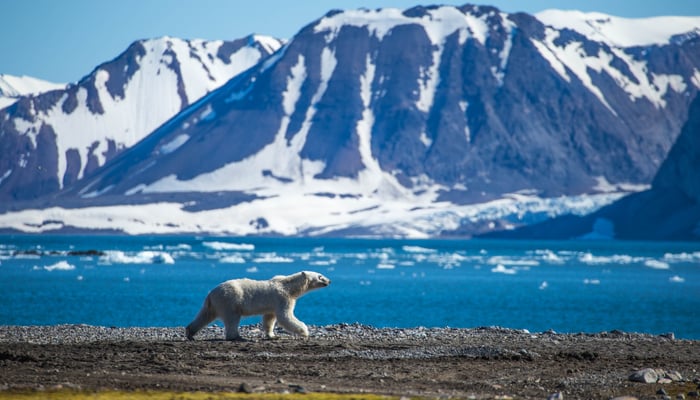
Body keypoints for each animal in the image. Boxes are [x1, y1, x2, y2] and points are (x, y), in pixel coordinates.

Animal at [185, 271, 330, 341]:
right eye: (320, 276)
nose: (329, 281)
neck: (289, 287)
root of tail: (211, 293)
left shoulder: (272, 304)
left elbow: (269, 319)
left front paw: (272, 335)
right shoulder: (282, 298)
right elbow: (285, 316)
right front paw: (305, 332)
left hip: (214, 304)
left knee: (204, 315)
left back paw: (190, 333)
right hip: (230, 300)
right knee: (232, 318)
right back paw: (237, 337)